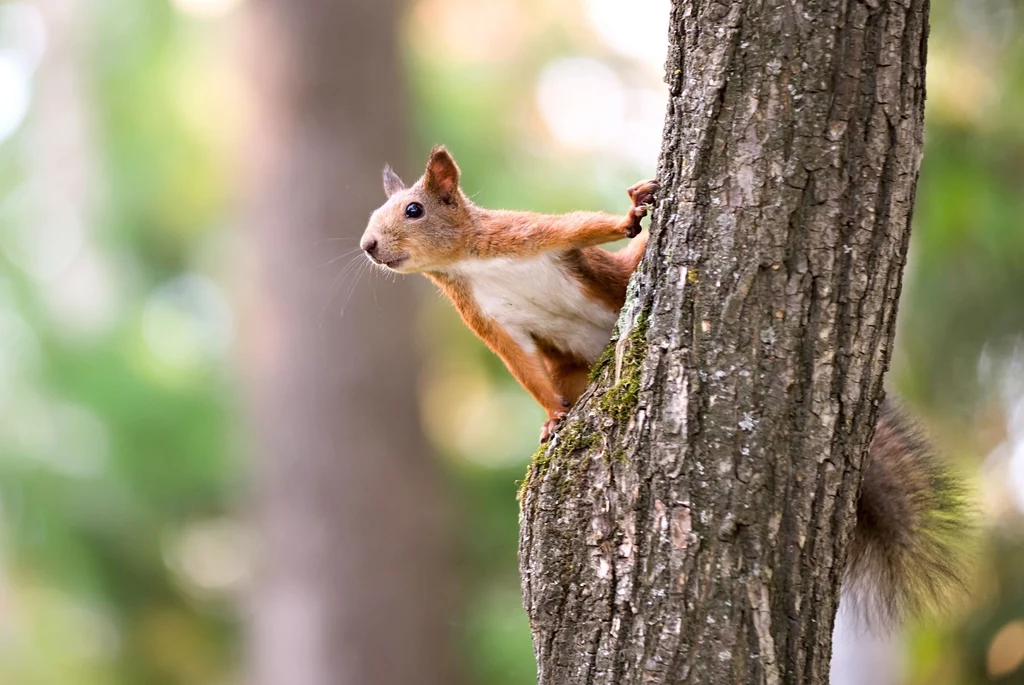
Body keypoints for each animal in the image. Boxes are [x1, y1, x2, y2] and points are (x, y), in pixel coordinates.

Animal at [358, 147, 966, 626]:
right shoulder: (487, 321)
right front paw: (553, 417)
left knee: (626, 261)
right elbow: (523, 368)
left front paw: (632, 212)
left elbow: (582, 227)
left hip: (617, 279)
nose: (367, 245)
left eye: (413, 209)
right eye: (373, 214)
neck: (470, 263)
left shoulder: (525, 235)